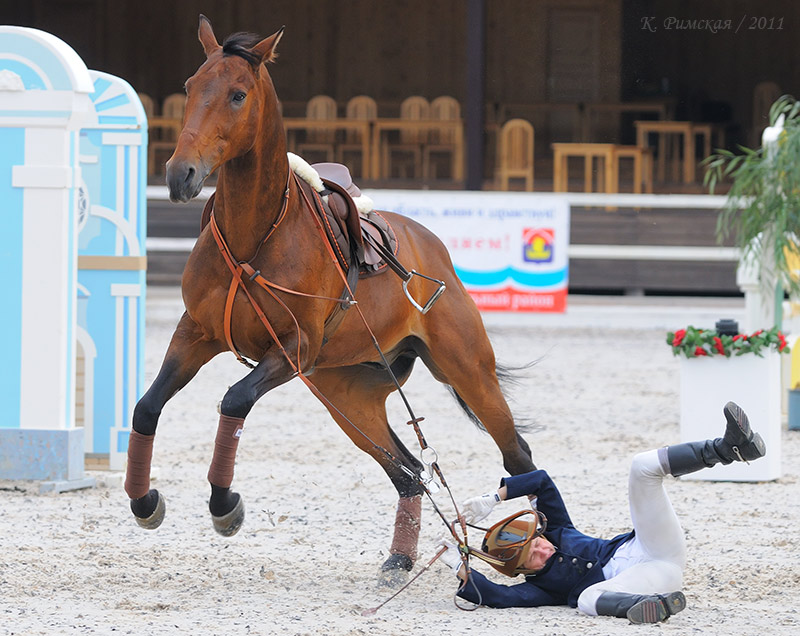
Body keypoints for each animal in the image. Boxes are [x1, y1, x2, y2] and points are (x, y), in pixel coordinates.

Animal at [125, 14, 536, 580]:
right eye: (189, 87)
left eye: (237, 94)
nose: (179, 174)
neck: (257, 235)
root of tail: (433, 250)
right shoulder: (196, 333)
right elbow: (147, 407)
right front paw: (145, 502)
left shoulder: (294, 349)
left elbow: (234, 399)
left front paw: (224, 506)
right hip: (348, 398)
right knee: (409, 470)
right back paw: (400, 558)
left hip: (468, 370)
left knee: (517, 457)